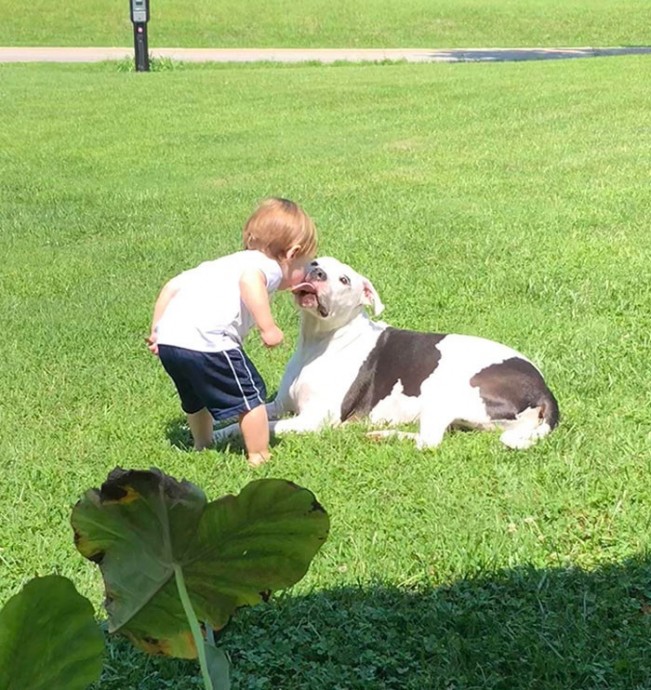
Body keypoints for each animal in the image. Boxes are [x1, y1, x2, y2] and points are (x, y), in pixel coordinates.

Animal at [215, 255, 560, 448]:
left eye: (344, 279)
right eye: (315, 263)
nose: (318, 273)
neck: (318, 341)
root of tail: (544, 390)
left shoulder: (314, 418)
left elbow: (273, 426)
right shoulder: (279, 404)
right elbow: (240, 420)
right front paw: (218, 434)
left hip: (443, 392)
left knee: (429, 443)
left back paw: (382, 434)